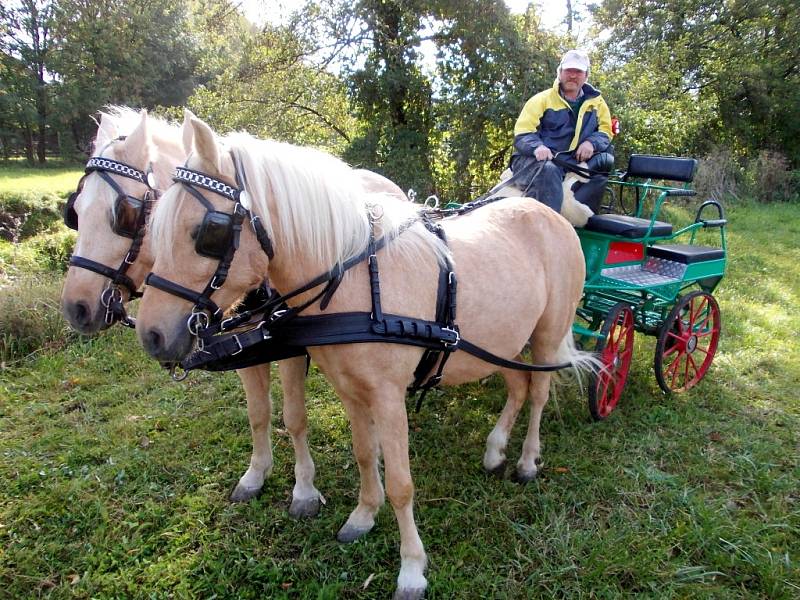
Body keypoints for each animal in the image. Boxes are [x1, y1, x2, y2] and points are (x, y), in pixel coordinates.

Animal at [136, 115, 588, 596]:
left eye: (207, 231)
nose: (152, 335)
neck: (355, 279)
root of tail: (551, 215)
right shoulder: (350, 390)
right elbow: (363, 453)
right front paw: (363, 516)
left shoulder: (389, 397)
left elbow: (402, 484)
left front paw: (411, 568)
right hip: (501, 346)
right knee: (519, 388)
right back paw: (495, 450)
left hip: (546, 336)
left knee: (538, 393)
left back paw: (526, 462)